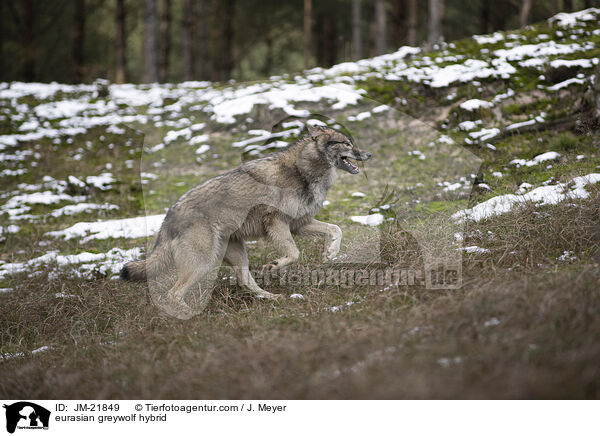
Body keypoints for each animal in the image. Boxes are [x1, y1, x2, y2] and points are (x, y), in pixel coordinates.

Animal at [120, 124, 370, 316]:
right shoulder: (277, 222)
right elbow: (294, 253)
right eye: (347, 144)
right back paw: (192, 315)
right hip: (203, 263)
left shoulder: (300, 224)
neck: (303, 170)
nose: (368, 155)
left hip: (235, 255)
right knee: (173, 294)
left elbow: (336, 229)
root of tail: (168, 217)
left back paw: (273, 298)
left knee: (245, 281)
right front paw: (274, 265)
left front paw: (330, 252)